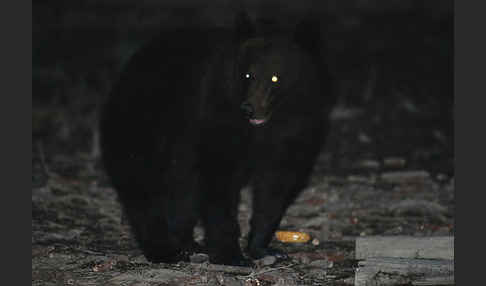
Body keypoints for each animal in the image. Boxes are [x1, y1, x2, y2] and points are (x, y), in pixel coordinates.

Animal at [100, 11, 336, 266]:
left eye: (275, 78)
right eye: (247, 75)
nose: (249, 109)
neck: (262, 129)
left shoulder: (293, 130)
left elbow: (274, 188)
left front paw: (262, 248)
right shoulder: (215, 115)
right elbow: (218, 183)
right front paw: (231, 255)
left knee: (180, 192)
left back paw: (187, 244)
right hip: (143, 126)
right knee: (143, 188)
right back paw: (163, 250)